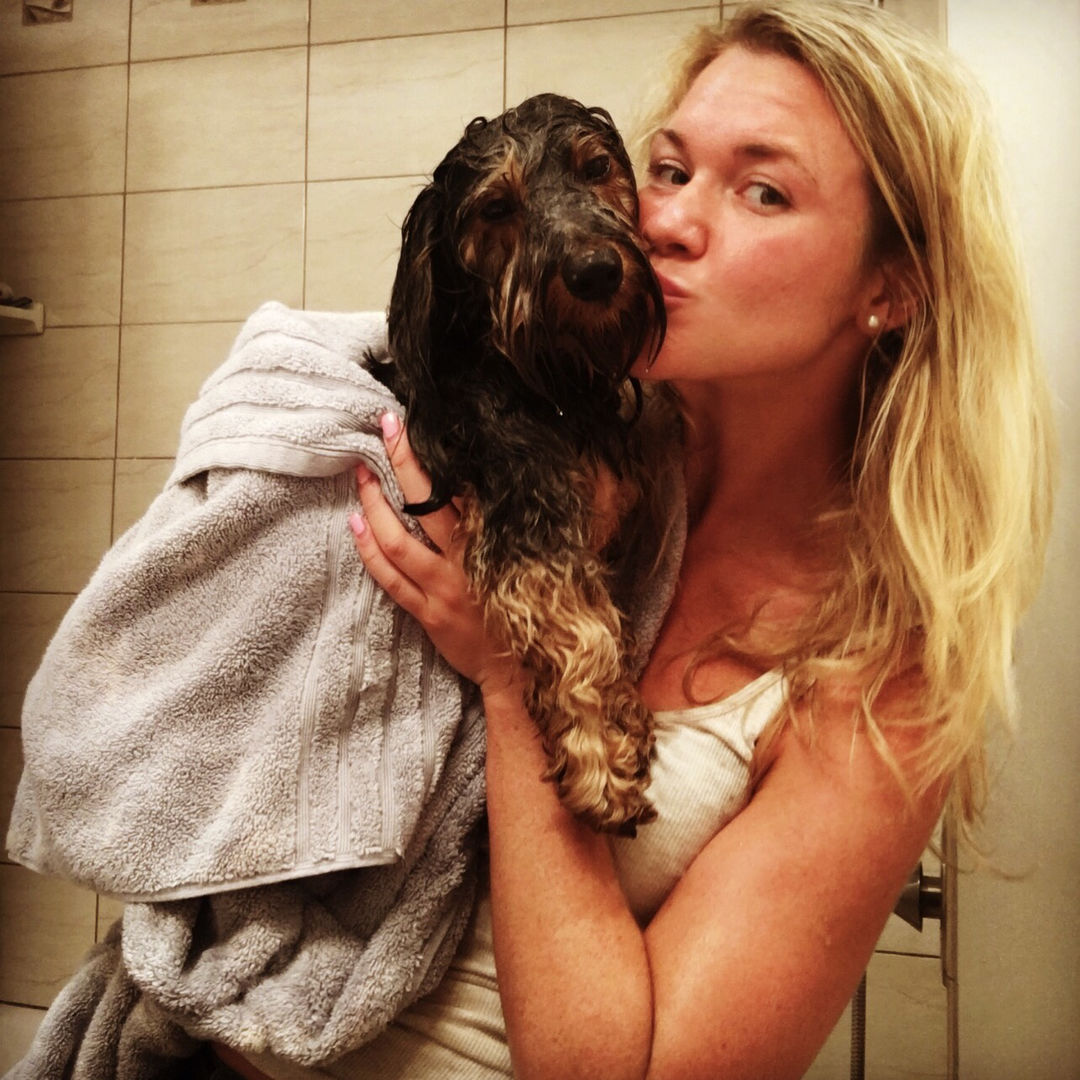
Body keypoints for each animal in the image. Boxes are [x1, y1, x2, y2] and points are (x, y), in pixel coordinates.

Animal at [373, 93, 666, 835]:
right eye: (497, 207)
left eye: (595, 169)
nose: (596, 272)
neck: (548, 383)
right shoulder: (526, 521)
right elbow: (574, 621)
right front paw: (601, 760)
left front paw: (621, 720)